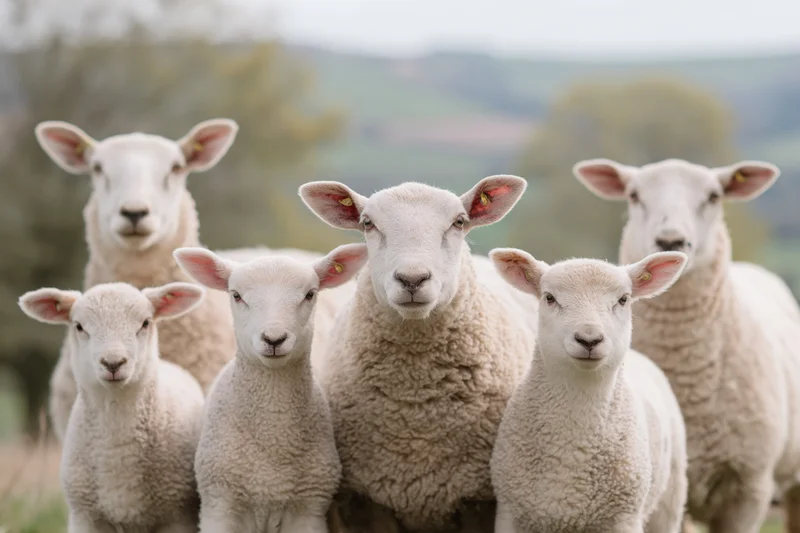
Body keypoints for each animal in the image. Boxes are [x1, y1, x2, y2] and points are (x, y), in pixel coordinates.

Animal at [488, 247, 689, 533]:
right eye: (549, 298)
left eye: (623, 299)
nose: (589, 339)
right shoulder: (511, 512)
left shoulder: (624, 517)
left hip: (668, 502)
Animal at [573, 157, 800, 533]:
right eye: (634, 195)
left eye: (714, 196)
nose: (670, 241)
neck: (687, 373)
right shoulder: (675, 492)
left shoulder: (749, 488)